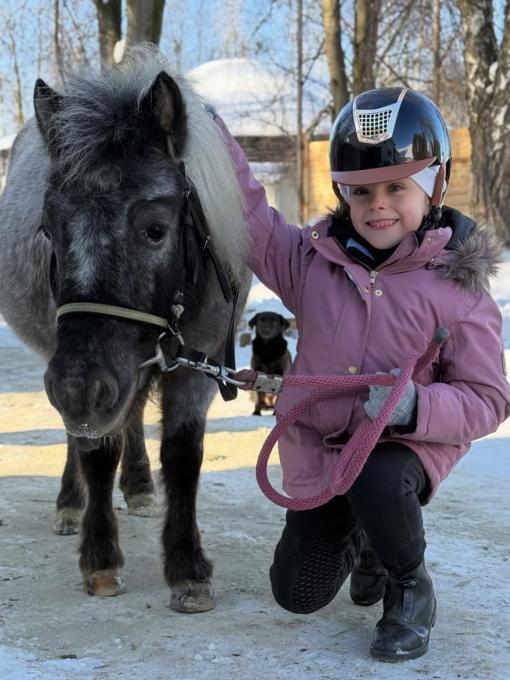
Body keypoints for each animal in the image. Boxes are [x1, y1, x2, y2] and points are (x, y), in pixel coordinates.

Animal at [0, 45, 250, 612]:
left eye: (155, 229)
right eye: (48, 230)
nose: (77, 386)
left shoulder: (198, 367)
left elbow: (182, 457)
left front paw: (186, 567)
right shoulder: (89, 380)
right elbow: (94, 450)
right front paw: (99, 558)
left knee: (130, 416)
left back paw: (138, 488)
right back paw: (71, 503)